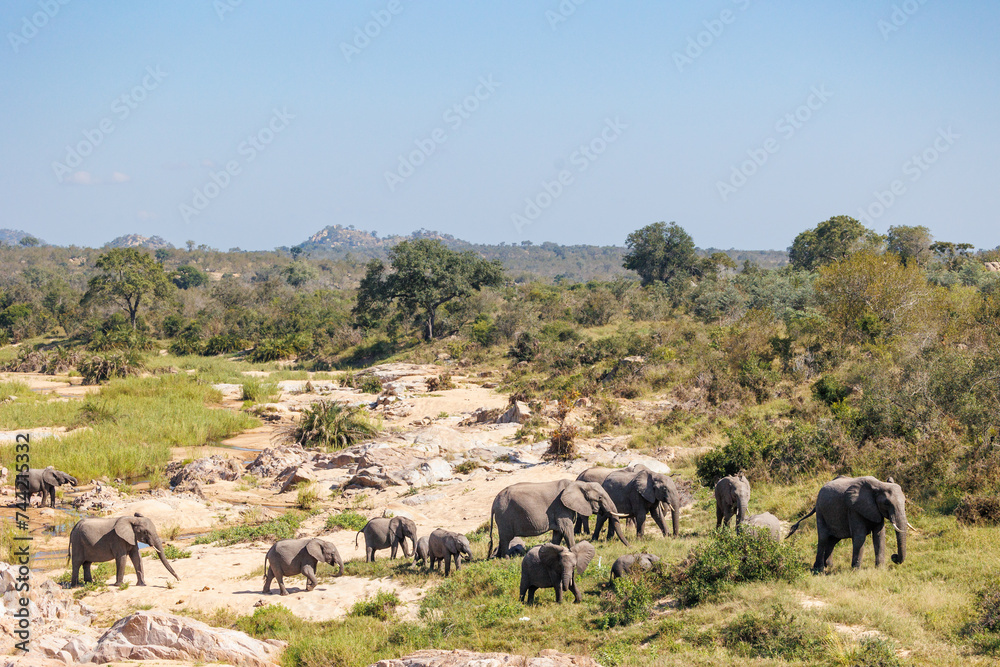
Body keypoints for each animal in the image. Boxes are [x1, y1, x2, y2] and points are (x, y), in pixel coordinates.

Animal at [488, 479, 628, 558]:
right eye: (599, 498)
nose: (629, 546)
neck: (578, 484)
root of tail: (494, 502)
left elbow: (558, 533)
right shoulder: (561, 507)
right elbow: (566, 529)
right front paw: (574, 553)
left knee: (502, 539)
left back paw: (497, 558)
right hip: (504, 515)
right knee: (506, 538)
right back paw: (506, 559)